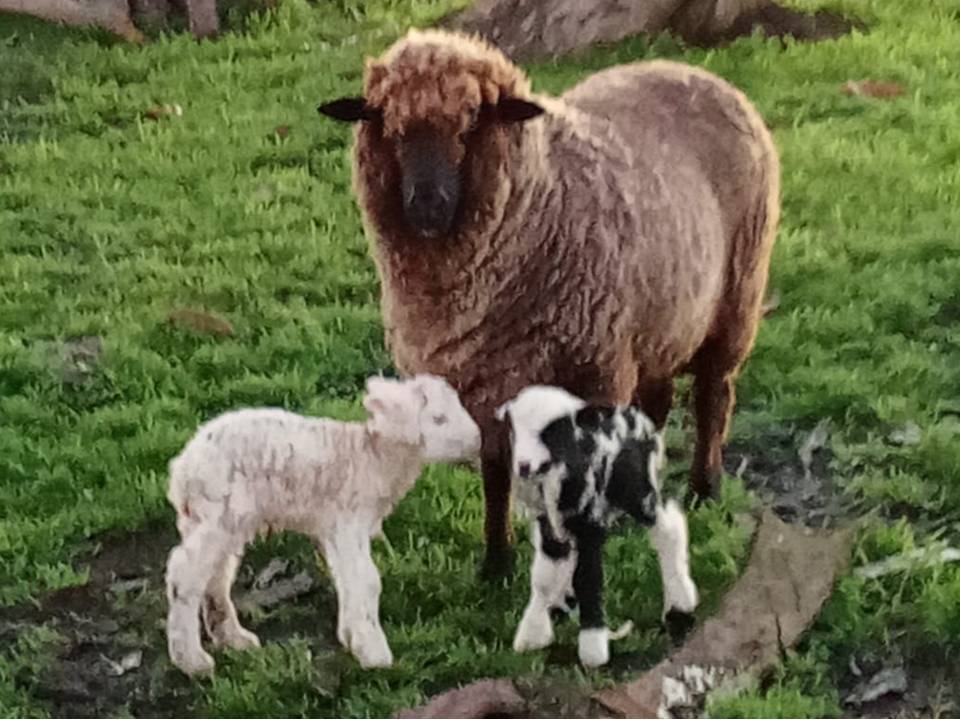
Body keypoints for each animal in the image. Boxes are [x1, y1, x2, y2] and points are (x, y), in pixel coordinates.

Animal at [164, 374, 481, 676]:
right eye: (439, 418)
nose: (478, 441)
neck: (373, 458)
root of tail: (182, 471)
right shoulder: (349, 521)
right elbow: (368, 581)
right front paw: (374, 653)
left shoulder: (335, 530)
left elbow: (347, 579)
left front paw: (352, 638)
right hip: (218, 514)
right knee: (185, 575)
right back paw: (192, 661)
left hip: (222, 520)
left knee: (216, 573)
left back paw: (232, 638)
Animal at [317, 28, 780, 578]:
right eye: (388, 124)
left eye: (472, 121)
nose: (426, 205)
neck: (542, 202)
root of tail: (693, 69)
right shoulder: (485, 387)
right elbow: (495, 476)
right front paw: (496, 564)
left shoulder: (596, 372)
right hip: (658, 316)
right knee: (658, 401)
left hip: (735, 298)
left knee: (714, 395)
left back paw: (704, 488)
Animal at [496, 385, 698, 667]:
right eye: (514, 428)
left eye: (551, 431)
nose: (523, 466)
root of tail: (637, 418)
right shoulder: (549, 524)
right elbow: (544, 577)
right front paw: (532, 636)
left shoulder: (592, 520)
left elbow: (588, 577)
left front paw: (593, 650)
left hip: (638, 489)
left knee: (668, 529)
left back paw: (681, 603)